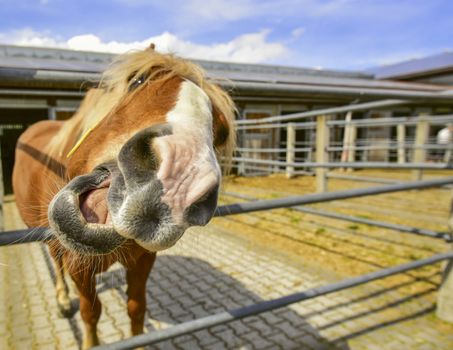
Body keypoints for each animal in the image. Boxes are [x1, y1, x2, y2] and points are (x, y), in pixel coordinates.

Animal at [12, 45, 235, 348]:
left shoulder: (143, 260)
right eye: (137, 81)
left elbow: (136, 308)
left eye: (220, 134)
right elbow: (91, 313)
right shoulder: (78, 266)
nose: (179, 176)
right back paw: (63, 301)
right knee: (56, 263)